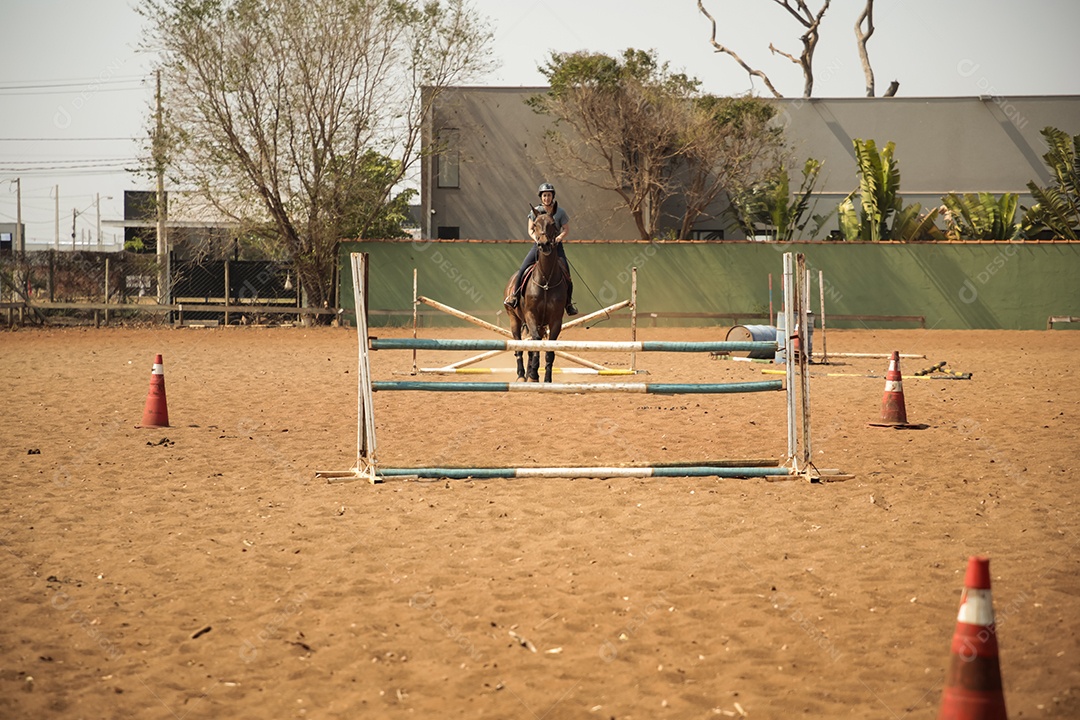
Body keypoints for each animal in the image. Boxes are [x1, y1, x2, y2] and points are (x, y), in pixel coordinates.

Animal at [507, 208, 574, 382]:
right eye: (535, 224)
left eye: (552, 223)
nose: (543, 244)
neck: (546, 282)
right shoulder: (531, 315)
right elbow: (536, 342)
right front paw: (533, 375)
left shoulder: (555, 320)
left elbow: (549, 349)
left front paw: (546, 378)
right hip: (514, 319)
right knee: (519, 347)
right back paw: (522, 375)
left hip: (541, 325)